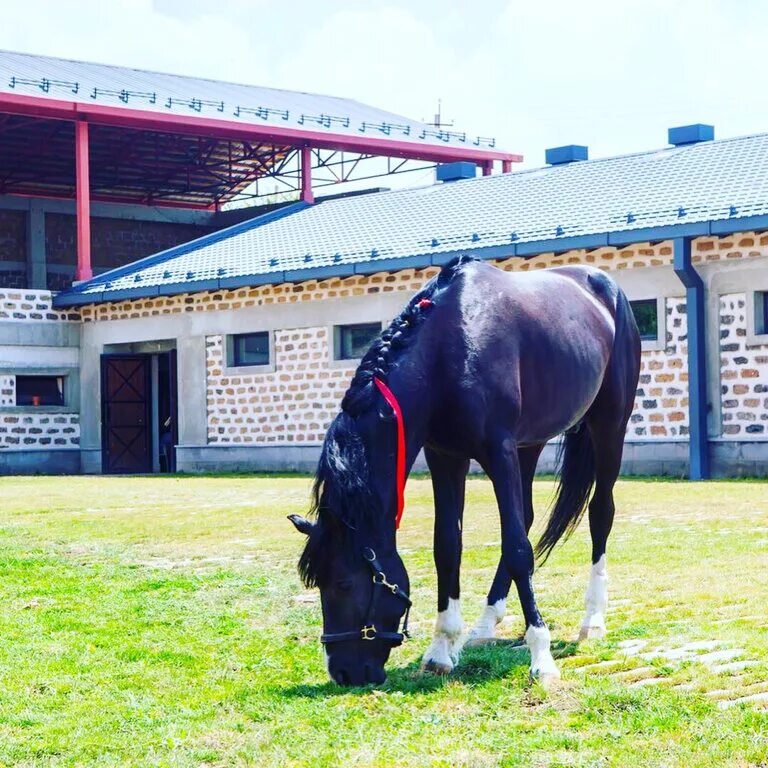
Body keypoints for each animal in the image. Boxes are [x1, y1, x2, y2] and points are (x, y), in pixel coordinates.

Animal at [292, 255, 640, 688]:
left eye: (342, 582)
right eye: (319, 583)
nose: (343, 671)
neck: (447, 351)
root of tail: (606, 287)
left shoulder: (498, 452)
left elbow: (519, 549)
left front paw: (541, 656)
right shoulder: (446, 457)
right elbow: (448, 547)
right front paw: (442, 648)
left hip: (608, 426)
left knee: (599, 514)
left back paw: (592, 620)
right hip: (529, 444)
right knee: (525, 517)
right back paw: (486, 623)